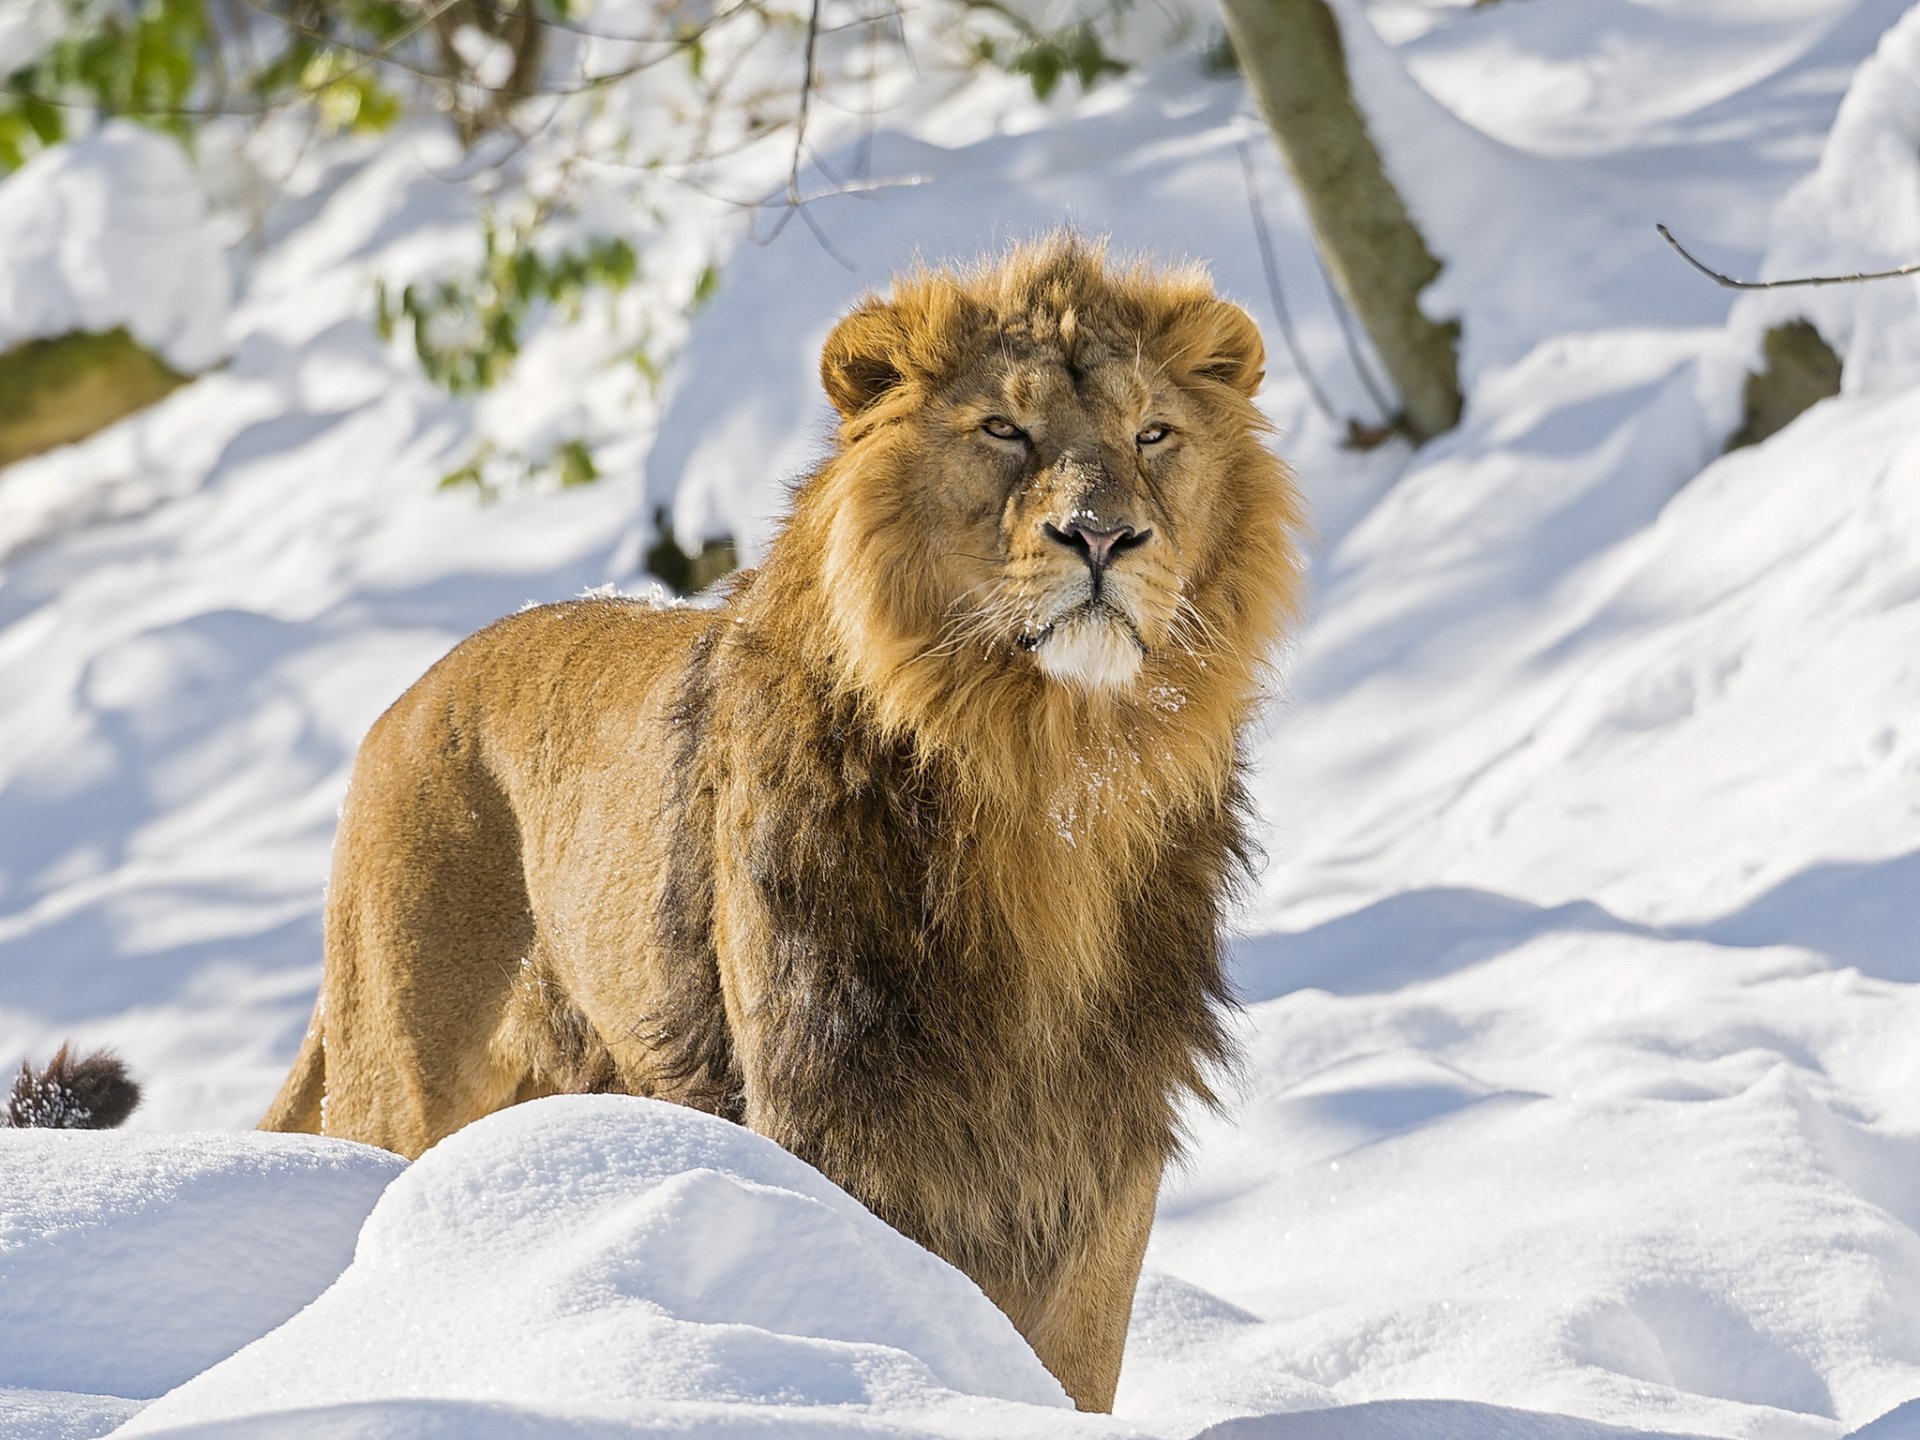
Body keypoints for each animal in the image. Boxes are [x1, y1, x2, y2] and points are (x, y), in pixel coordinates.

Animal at [260, 234, 1307, 1411]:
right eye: (1005, 429)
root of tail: (401, 706)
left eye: (1153, 434)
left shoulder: (1105, 1134)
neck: (1048, 779)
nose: (1102, 535)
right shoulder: (832, 1098)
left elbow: (1073, 1364)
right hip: (399, 1084)